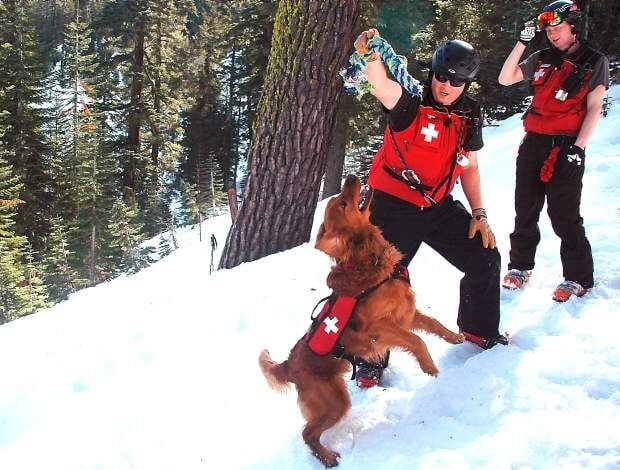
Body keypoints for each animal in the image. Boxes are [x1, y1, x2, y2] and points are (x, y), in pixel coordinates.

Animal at [260, 175, 462, 466]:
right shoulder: (377, 330)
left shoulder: (406, 315)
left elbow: (433, 324)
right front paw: (430, 368)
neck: (369, 259)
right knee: (308, 434)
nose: (351, 177)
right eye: (343, 204)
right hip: (334, 402)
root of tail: (288, 365)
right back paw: (328, 458)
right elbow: (417, 341)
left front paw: (456, 337)